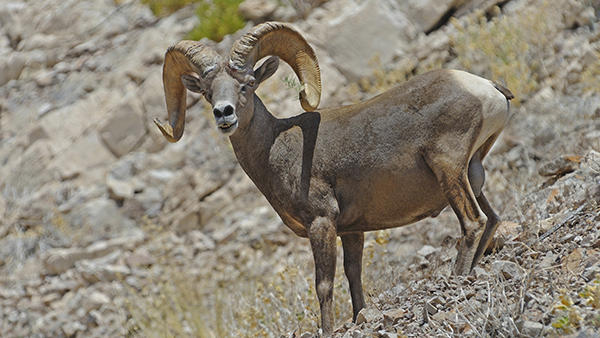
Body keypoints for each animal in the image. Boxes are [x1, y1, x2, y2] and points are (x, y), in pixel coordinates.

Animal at [155, 21, 510, 336]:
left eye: (247, 84)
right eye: (207, 92)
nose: (224, 114)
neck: (277, 147)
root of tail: (485, 88)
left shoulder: (321, 223)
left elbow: (324, 285)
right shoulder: (352, 231)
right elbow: (354, 276)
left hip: (449, 169)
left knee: (473, 222)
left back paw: (458, 277)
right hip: (472, 173)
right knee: (492, 219)